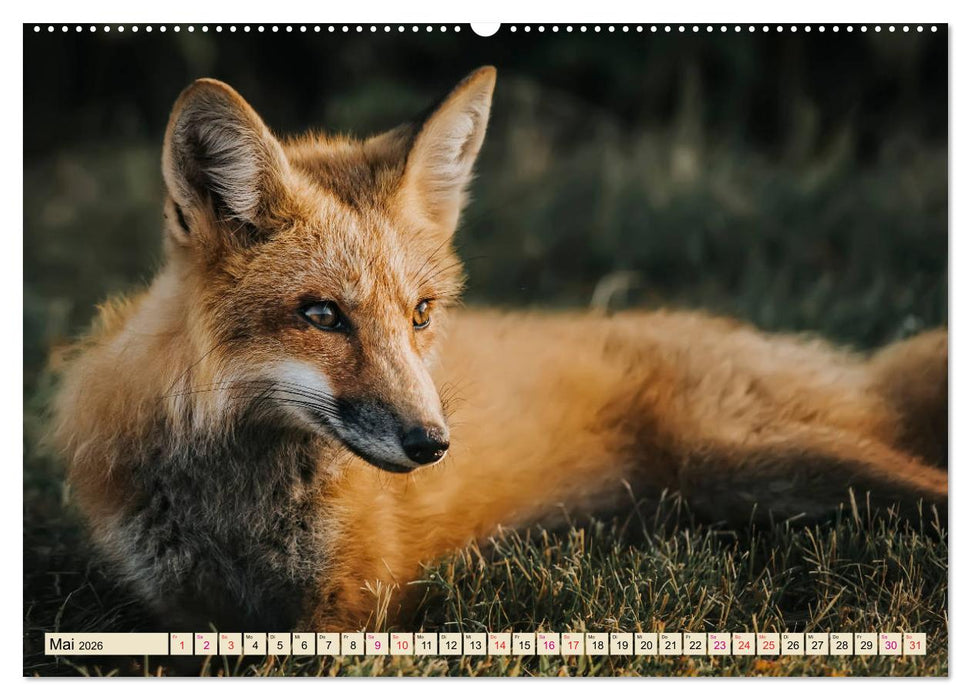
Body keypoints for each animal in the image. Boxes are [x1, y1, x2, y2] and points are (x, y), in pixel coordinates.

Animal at [49, 66, 948, 633]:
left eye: (420, 313)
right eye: (322, 314)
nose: (432, 443)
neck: (238, 510)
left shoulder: (352, 609)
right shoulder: (179, 615)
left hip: (763, 461)